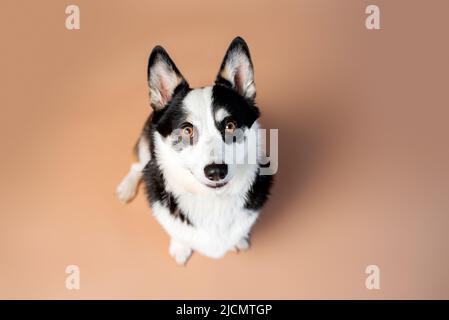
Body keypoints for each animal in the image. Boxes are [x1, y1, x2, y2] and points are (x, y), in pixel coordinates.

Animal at [117, 36, 272, 264]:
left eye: (230, 125)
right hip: (146, 141)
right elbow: (177, 232)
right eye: (187, 130)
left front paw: (239, 240)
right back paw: (126, 187)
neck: (213, 200)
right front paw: (180, 247)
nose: (216, 172)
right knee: (137, 165)